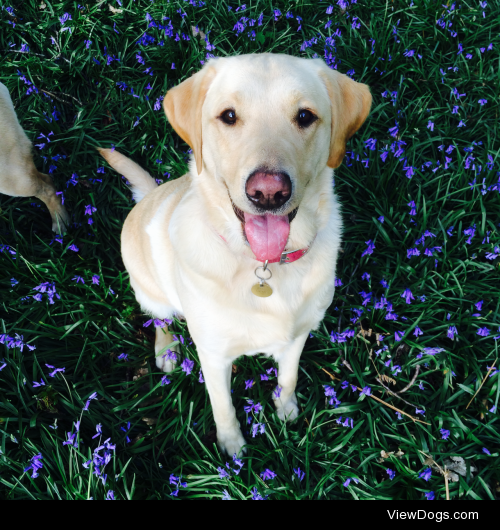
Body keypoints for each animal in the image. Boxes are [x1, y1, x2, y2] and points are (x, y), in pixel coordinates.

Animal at [98, 51, 372, 452]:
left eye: (305, 116)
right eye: (229, 116)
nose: (269, 192)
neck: (265, 266)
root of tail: (149, 195)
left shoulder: (298, 336)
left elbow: (288, 376)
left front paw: (285, 408)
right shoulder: (213, 355)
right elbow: (223, 406)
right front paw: (233, 447)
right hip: (150, 291)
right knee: (160, 320)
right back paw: (166, 351)